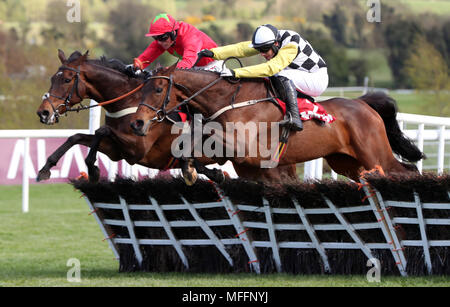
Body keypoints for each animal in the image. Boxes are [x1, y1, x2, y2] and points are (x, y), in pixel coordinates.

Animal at [36, 50, 298, 184]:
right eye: (51, 78)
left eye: (66, 79)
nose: (43, 112)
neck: (130, 101)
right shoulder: (118, 151)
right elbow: (77, 137)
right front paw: (46, 169)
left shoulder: (137, 148)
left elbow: (101, 131)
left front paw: (92, 169)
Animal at [131, 65, 426, 180]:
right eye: (141, 89)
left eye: (158, 89)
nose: (137, 124)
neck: (231, 100)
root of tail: (365, 105)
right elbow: (193, 149)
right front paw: (200, 171)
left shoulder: (246, 148)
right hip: (347, 163)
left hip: (374, 155)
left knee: (407, 170)